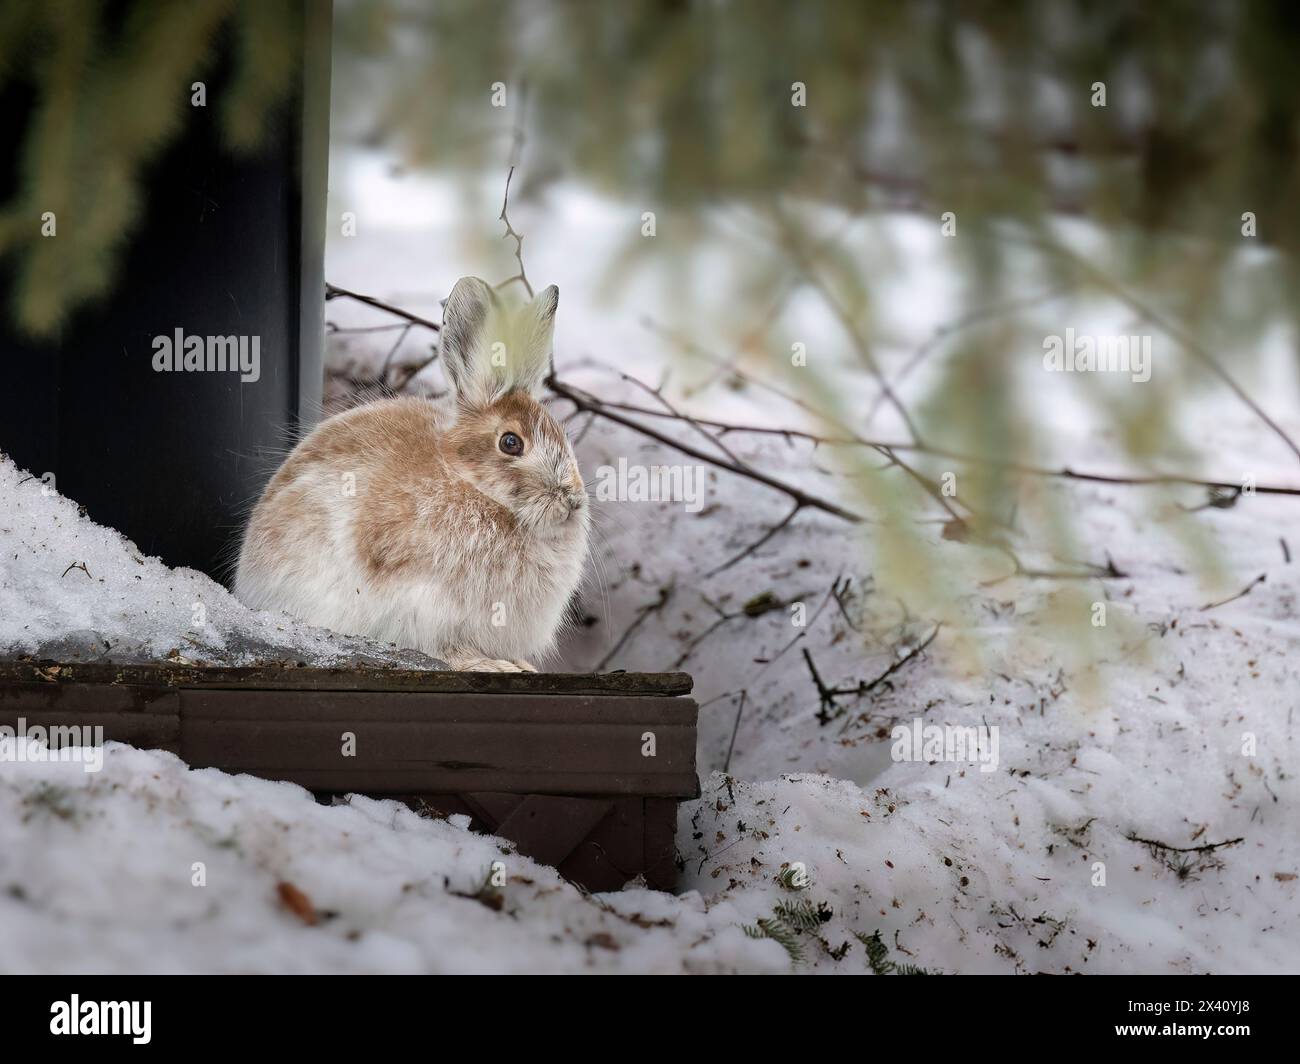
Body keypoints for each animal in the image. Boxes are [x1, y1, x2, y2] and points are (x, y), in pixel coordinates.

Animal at [234, 277, 589, 672]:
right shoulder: (421, 602)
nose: (571, 501)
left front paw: (519, 665)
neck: (469, 481)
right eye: (510, 443)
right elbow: (443, 646)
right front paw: (488, 664)